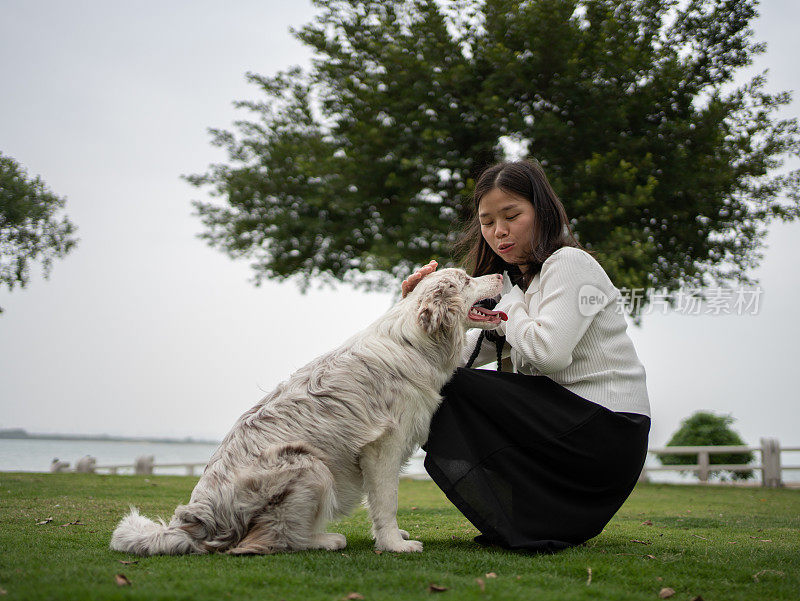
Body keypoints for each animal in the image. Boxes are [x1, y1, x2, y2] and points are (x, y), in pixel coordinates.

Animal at [109, 270, 504, 556]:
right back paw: (325, 540)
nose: (501, 273)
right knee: (266, 541)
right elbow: (386, 502)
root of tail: (200, 519)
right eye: (466, 279)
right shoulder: (383, 449)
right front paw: (394, 544)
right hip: (309, 465)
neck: (415, 341)